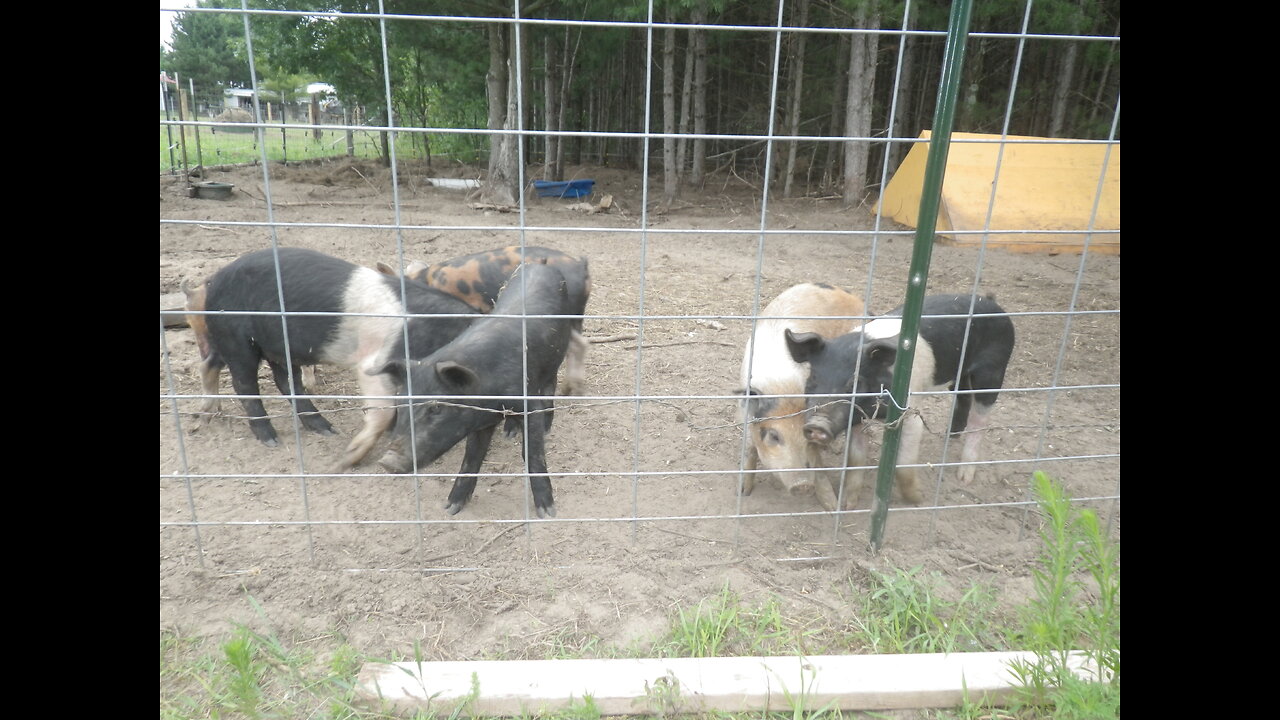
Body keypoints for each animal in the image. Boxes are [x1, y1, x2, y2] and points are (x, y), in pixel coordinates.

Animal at [194, 245, 481, 471]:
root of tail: (213, 280)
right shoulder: (375, 364)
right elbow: (383, 410)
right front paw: (344, 461)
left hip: (268, 344)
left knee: (273, 378)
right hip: (236, 337)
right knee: (244, 383)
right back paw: (271, 439)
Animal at [371, 257, 588, 515]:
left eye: (437, 408)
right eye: (401, 403)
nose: (387, 461)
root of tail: (541, 264)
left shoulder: (526, 400)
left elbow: (533, 453)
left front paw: (547, 512)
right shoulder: (479, 418)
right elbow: (471, 456)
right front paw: (451, 508)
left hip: (557, 350)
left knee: (551, 383)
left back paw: (545, 426)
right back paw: (509, 432)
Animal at [742, 280, 870, 509]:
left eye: (804, 435)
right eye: (774, 436)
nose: (802, 485)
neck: (783, 388)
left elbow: (817, 462)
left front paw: (831, 507)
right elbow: (749, 448)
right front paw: (744, 493)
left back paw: (847, 505)